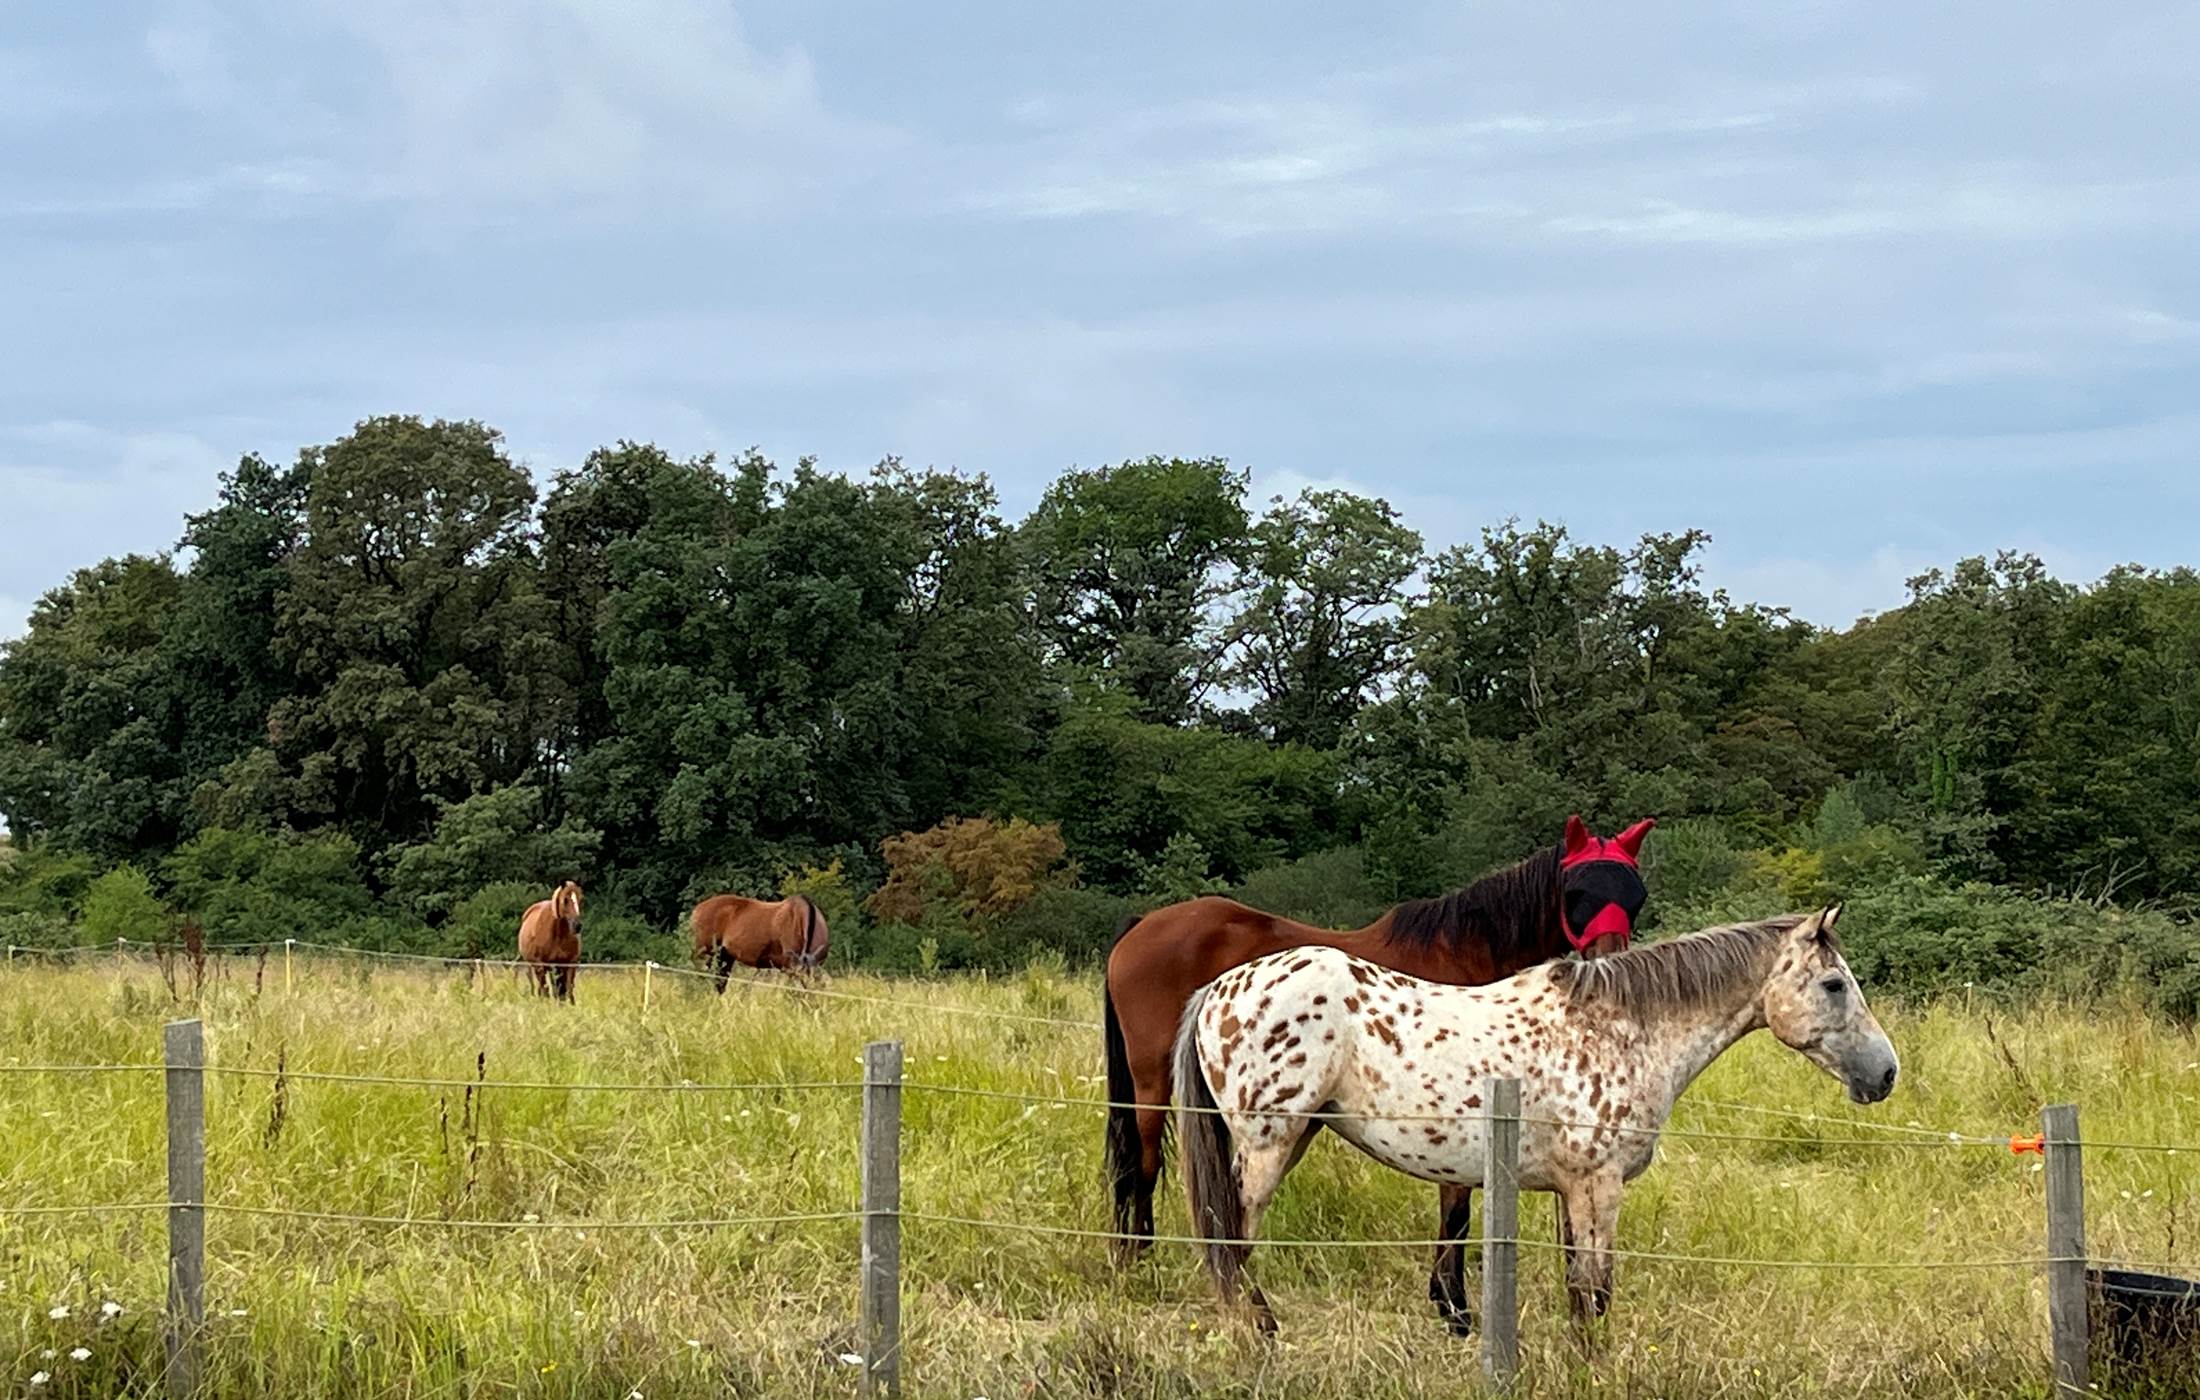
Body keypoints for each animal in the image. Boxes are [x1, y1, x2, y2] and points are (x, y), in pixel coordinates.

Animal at [1105, 815, 1653, 1331]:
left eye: (1635, 895)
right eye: (1578, 892)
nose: (1611, 962)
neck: (1467, 955)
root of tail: (1141, 925)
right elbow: (1456, 1208)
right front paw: (1454, 1308)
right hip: (1152, 1085)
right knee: (1143, 1165)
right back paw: (1138, 1258)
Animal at [1174, 905, 1896, 1334]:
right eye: (1834, 985)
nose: (1885, 1073)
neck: (1622, 1029)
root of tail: (1218, 989)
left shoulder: (1569, 1192)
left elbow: (1579, 1292)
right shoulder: (1599, 1187)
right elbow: (1597, 1291)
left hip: (1291, 1138)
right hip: (1267, 1145)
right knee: (1231, 1239)